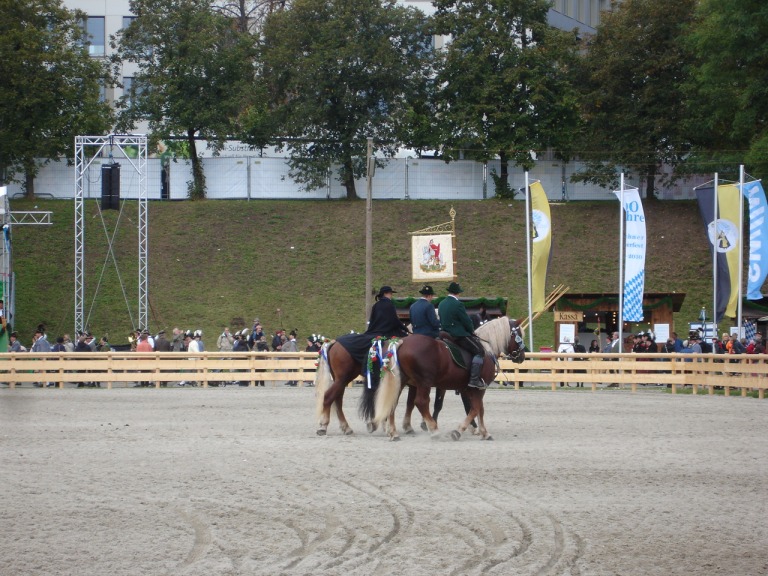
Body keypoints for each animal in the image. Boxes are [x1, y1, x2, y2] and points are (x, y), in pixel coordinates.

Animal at [368, 318, 524, 444]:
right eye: (519, 335)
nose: (522, 356)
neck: (487, 349)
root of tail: (402, 342)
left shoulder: (469, 389)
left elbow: (477, 409)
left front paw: (482, 431)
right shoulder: (479, 388)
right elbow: (476, 409)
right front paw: (461, 431)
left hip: (402, 382)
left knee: (393, 403)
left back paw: (393, 433)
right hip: (424, 383)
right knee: (421, 402)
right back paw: (434, 430)